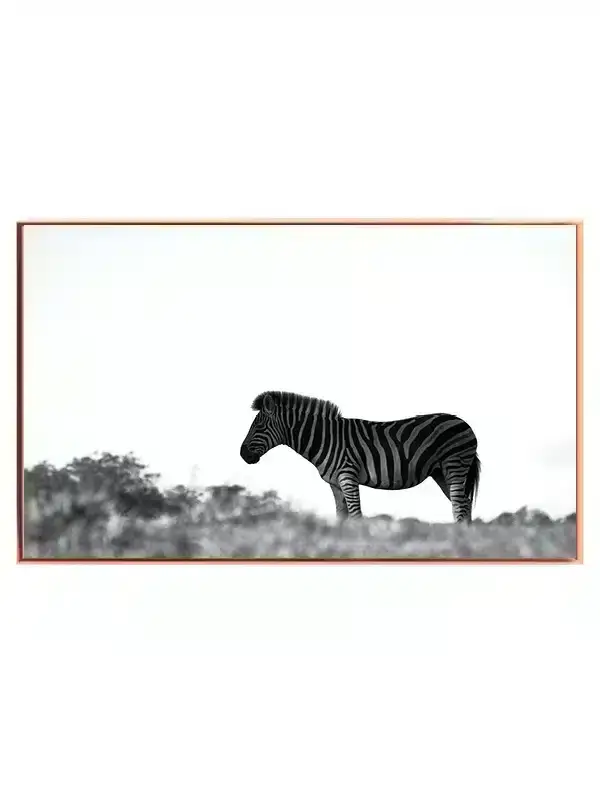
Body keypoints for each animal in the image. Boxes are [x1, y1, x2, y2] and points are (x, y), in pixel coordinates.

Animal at [240, 391, 481, 523]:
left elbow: (356, 515)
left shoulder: (348, 476)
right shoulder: (335, 483)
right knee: (465, 503)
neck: (326, 438)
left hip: (454, 464)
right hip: (440, 472)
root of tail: (465, 424)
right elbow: (341, 516)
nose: (242, 455)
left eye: (258, 426)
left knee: (459, 505)